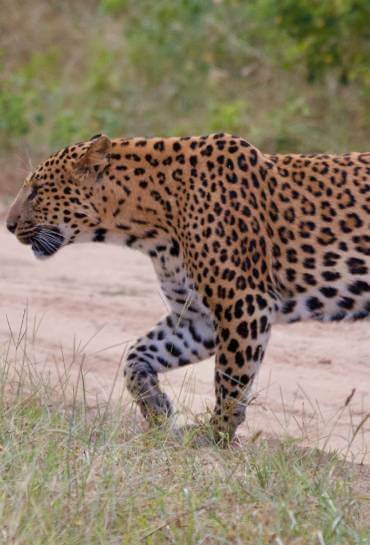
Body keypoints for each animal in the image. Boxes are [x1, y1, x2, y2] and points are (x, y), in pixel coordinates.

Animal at [6, 132, 370, 442]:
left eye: (36, 190)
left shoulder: (244, 303)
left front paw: (214, 438)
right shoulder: (196, 317)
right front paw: (158, 408)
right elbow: (136, 357)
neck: (150, 224)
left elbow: (230, 380)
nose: (8, 225)